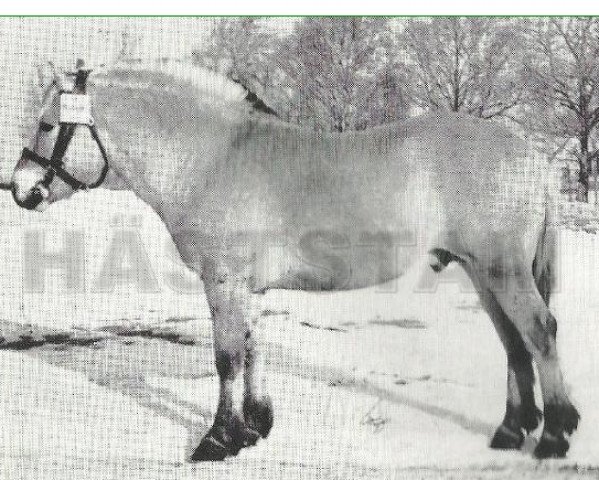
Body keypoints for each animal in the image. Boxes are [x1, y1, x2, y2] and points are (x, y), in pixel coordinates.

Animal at [11, 61, 580, 462]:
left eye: (47, 125)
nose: (19, 188)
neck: (213, 158)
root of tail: (529, 150)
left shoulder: (223, 282)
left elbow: (227, 358)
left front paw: (217, 440)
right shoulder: (249, 289)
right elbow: (252, 350)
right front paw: (255, 426)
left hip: (502, 270)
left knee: (540, 330)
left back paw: (554, 434)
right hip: (483, 272)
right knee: (514, 342)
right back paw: (511, 429)